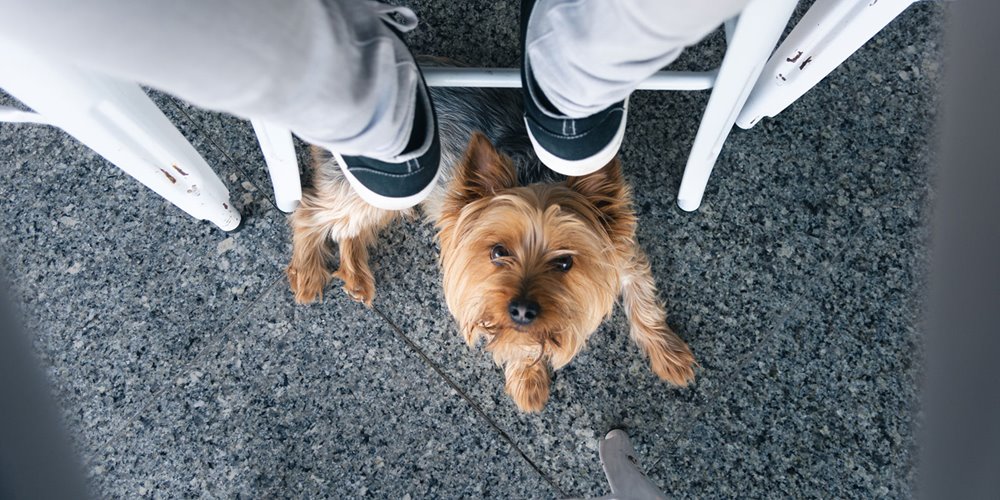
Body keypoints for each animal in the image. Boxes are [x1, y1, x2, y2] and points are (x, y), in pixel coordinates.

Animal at [288, 87, 696, 414]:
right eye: (498, 251)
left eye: (565, 262)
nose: (522, 309)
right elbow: (520, 344)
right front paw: (529, 380)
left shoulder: (623, 254)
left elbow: (644, 303)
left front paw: (668, 355)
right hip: (374, 186)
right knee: (311, 213)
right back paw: (307, 273)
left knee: (347, 229)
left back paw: (356, 276)